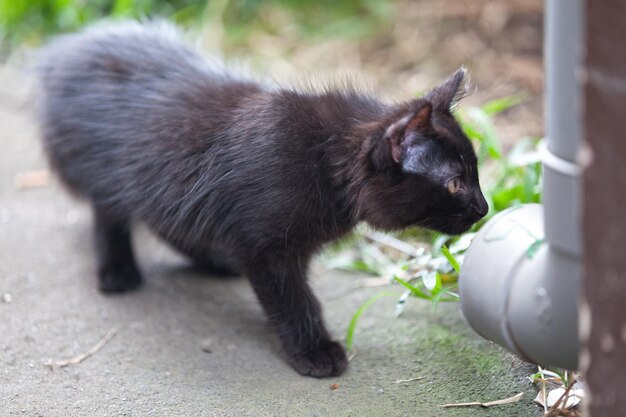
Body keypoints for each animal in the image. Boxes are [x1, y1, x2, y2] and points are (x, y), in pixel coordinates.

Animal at [36, 20, 490, 376]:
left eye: (476, 174)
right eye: (456, 183)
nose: (484, 208)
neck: (323, 160)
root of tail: (66, 49)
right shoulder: (266, 247)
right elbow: (292, 299)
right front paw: (313, 350)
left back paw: (213, 259)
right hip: (105, 170)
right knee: (110, 215)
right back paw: (117, 271)